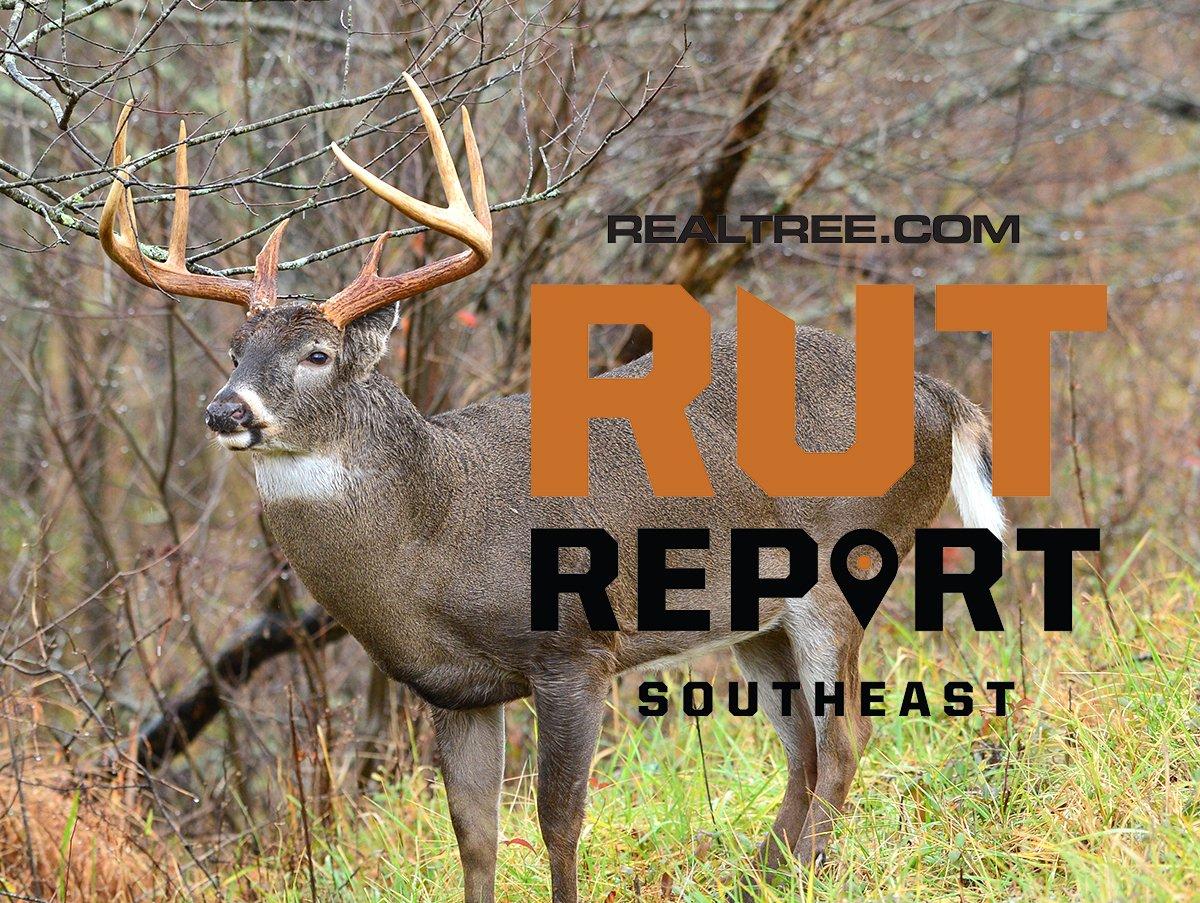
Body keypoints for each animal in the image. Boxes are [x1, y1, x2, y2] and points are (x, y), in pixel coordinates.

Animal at [98, 76, 1005, 902]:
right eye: (235, 350)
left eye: (318, 354)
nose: (225, 409)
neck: (439, 522)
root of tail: (941, 396)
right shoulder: (452, 686)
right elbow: (475, 836)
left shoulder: (575, 647)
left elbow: (558, 820)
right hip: (760, 615)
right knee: (804, 747)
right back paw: (767, 876)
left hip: (844, 567)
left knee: (846, 734)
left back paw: (805, 873)